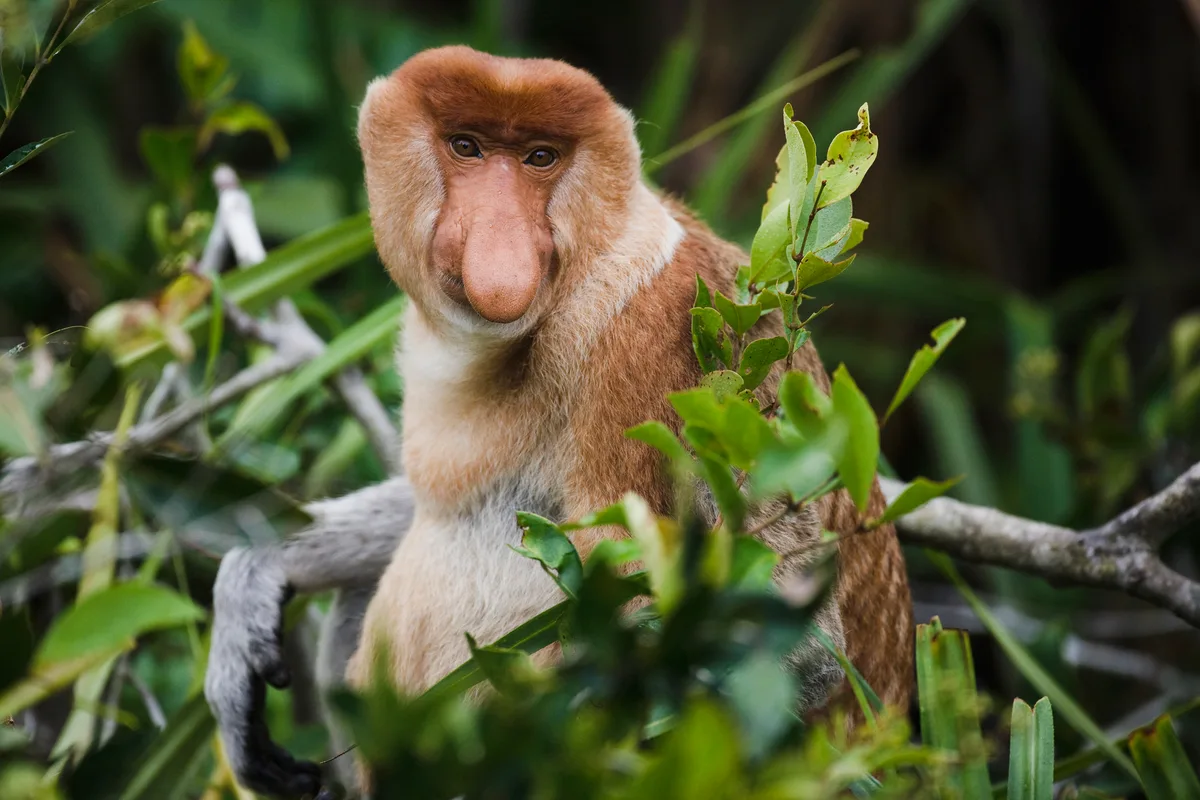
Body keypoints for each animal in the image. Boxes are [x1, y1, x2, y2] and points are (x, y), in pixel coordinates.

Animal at [204, 45, 913, 799]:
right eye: (467, 146)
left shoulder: (659, 342)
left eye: (539, 157)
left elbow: (791, 650)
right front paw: (255, 579)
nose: (501, 243)